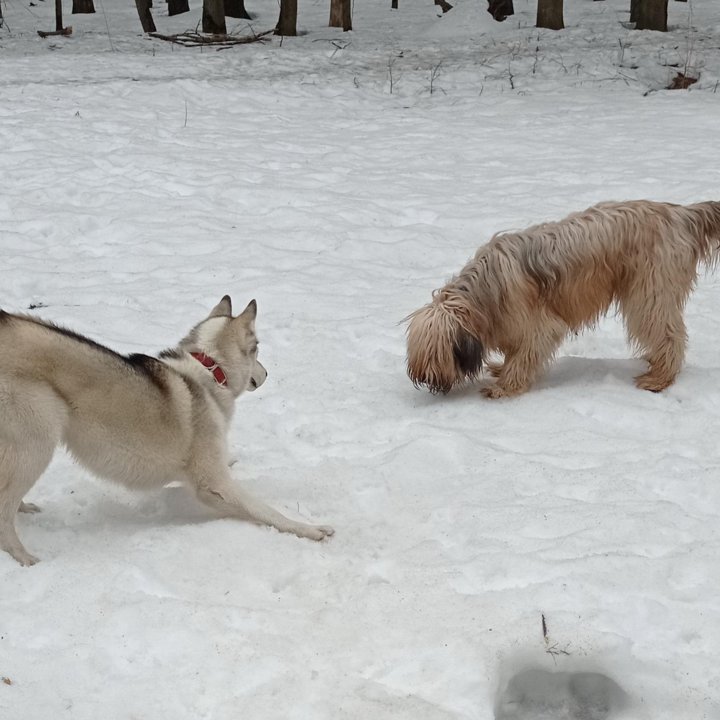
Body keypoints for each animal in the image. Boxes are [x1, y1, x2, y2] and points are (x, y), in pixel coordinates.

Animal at [0, 296, 332, 564]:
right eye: (257, 350)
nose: (267, 373)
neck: (210, 369)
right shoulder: (214, 485)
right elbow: (268, 511)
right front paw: (311, 529)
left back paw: (25, 509)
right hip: (38, 443)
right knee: (4, 511)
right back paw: (24, 557)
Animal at [408, 200, 720, 396]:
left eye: (436, 353)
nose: (423, 379)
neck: (485, 293)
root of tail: (683, 215)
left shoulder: (538, 324)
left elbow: (527, 352)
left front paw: (504, 387)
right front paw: (500, 369)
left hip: (649, 293)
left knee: (669, 333)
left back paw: (660, 378)